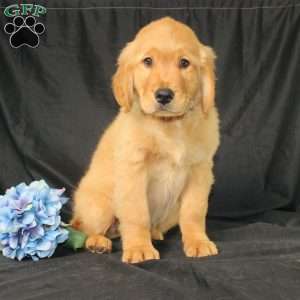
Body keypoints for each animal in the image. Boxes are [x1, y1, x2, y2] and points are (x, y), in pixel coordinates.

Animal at [71, 17, 219, 262]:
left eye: (184, 63)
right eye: (147, 61)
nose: (164, 95)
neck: (169, 125)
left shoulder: (200, 170)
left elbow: (194, 212)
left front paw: (198, 242)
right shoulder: (134, 170)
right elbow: (136, 214)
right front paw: (139, 248)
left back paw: (154, 233)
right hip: (99, 207)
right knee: (84, 228)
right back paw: (98, 242)